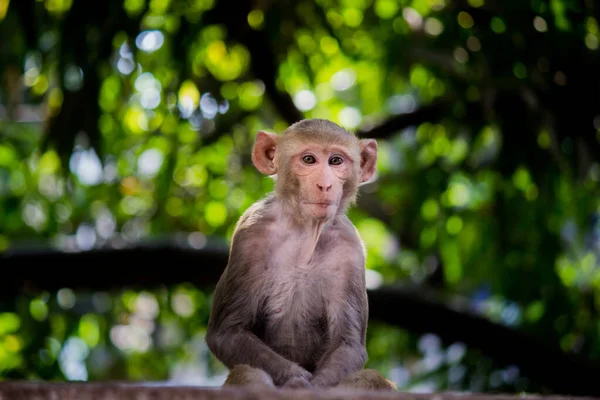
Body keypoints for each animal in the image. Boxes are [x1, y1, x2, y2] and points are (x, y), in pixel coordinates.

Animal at [204, 118, 396, 390]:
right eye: (308, 159)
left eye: (336, 161)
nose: (325, 185)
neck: (304, 230)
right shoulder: (249, 235)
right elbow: (228, 332)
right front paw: (297, 383)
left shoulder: (351, 249)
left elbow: (347, 344)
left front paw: (316, 387)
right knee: (247, 372)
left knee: (370, 377)